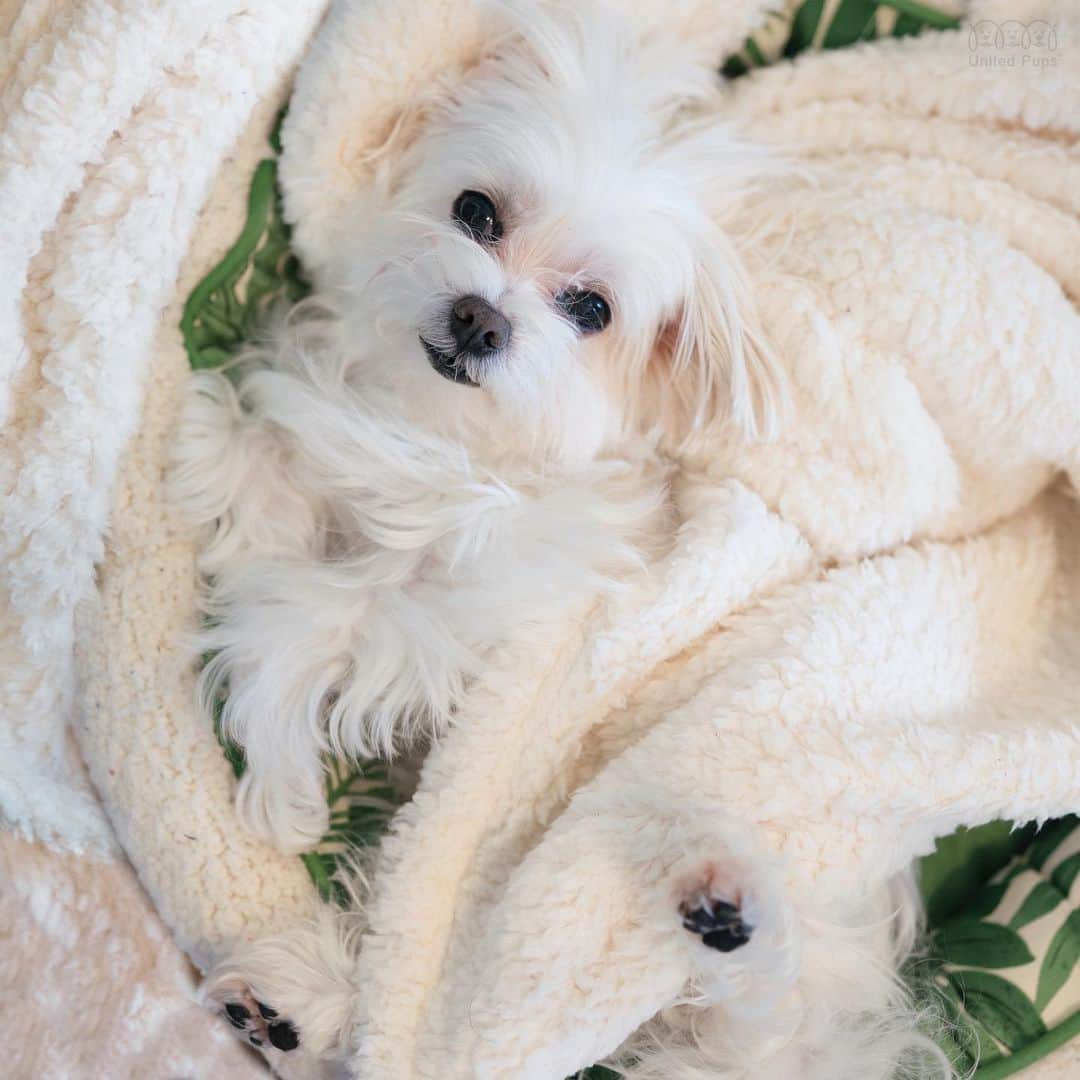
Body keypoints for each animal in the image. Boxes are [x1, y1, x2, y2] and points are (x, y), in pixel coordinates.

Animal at [168, 0, 781, 859]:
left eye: (592, 309)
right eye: (476, 211)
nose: (478, 319)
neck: (441, 433)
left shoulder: (439, 611)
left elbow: (300, 619)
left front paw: (283, 792)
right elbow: (271, 487)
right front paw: (212, 427)